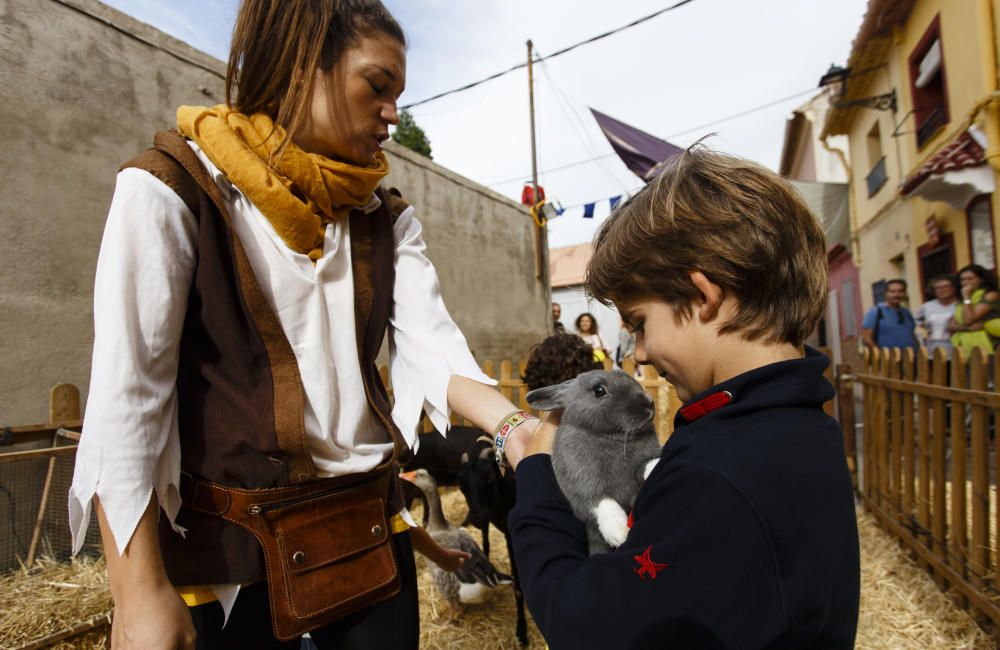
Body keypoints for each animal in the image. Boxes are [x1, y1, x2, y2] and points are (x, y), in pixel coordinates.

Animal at [528, 370, 660, 552]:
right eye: (599, 390)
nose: (648, 404)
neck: (610, 436)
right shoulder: (581, 480)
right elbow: (599, 501)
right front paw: (619, 533)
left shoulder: (641, 461)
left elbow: (646, 465)